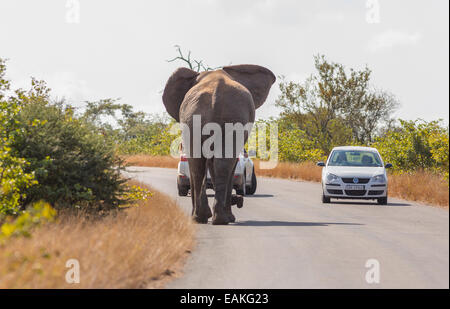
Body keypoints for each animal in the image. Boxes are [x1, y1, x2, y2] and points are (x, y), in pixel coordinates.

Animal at [162, 65, 274, 224]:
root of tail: (216, 94)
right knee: (214, 164)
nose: (238, 200)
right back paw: (214, 218)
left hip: (204, 118)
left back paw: (205, 218)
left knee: (204, 164)